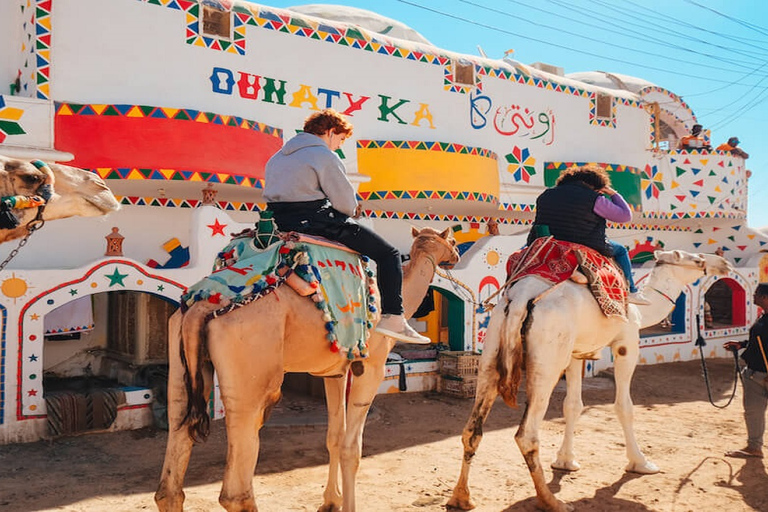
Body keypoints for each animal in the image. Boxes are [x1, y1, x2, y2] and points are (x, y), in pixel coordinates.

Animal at [153, 227, 460, 512]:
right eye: (454, 241)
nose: (456, 256)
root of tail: (201, 305)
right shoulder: (371, 366)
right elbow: (352, 448)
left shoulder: (336, 371)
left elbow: (334, 438)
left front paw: (330, 502)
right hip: (251, 374)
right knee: (236, 490)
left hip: (181, 364)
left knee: (171, 476)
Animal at [450, 249, 732, 512]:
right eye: (696, 259)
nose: (724, 263)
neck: (644, 309)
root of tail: (520, 299)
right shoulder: (627, 344)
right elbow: (624, 407)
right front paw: (640, 462)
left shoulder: (577, 353)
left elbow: (572, 406)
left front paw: (566, 461)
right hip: (547, 359)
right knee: (527, 435)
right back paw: (551, 502)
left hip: (492, 350)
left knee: (472, 430)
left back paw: (462, 498)